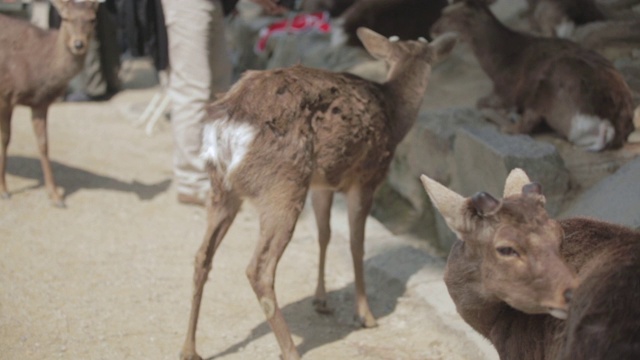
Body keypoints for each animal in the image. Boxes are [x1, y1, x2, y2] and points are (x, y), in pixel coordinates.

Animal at [0, 0, 99, 208]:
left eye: (93, 19)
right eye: (66, 18)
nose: (78, 44)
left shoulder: (40, 103)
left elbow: (44, 144)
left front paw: (55, 196)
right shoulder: (5, 95)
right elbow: (5, 139)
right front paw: (4, 190)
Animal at [178, 28, 458, 360]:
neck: (393, 112)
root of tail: (228, 124)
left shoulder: (322, 184)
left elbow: (324, 234)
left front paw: (321, 300)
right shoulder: (367, 178)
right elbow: (356, 244)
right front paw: (365, 315)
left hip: (223, 186)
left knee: (201, 256)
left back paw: (189, 349)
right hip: (282, 186)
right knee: (258, 269)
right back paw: (290, 350)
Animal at [430, 0, 636, 151]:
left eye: (447, 13)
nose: (433, 30)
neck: (498, 64)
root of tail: (609, 124)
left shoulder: (506, 91)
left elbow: (481, 102)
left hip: (550, 85)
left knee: (524, 124)